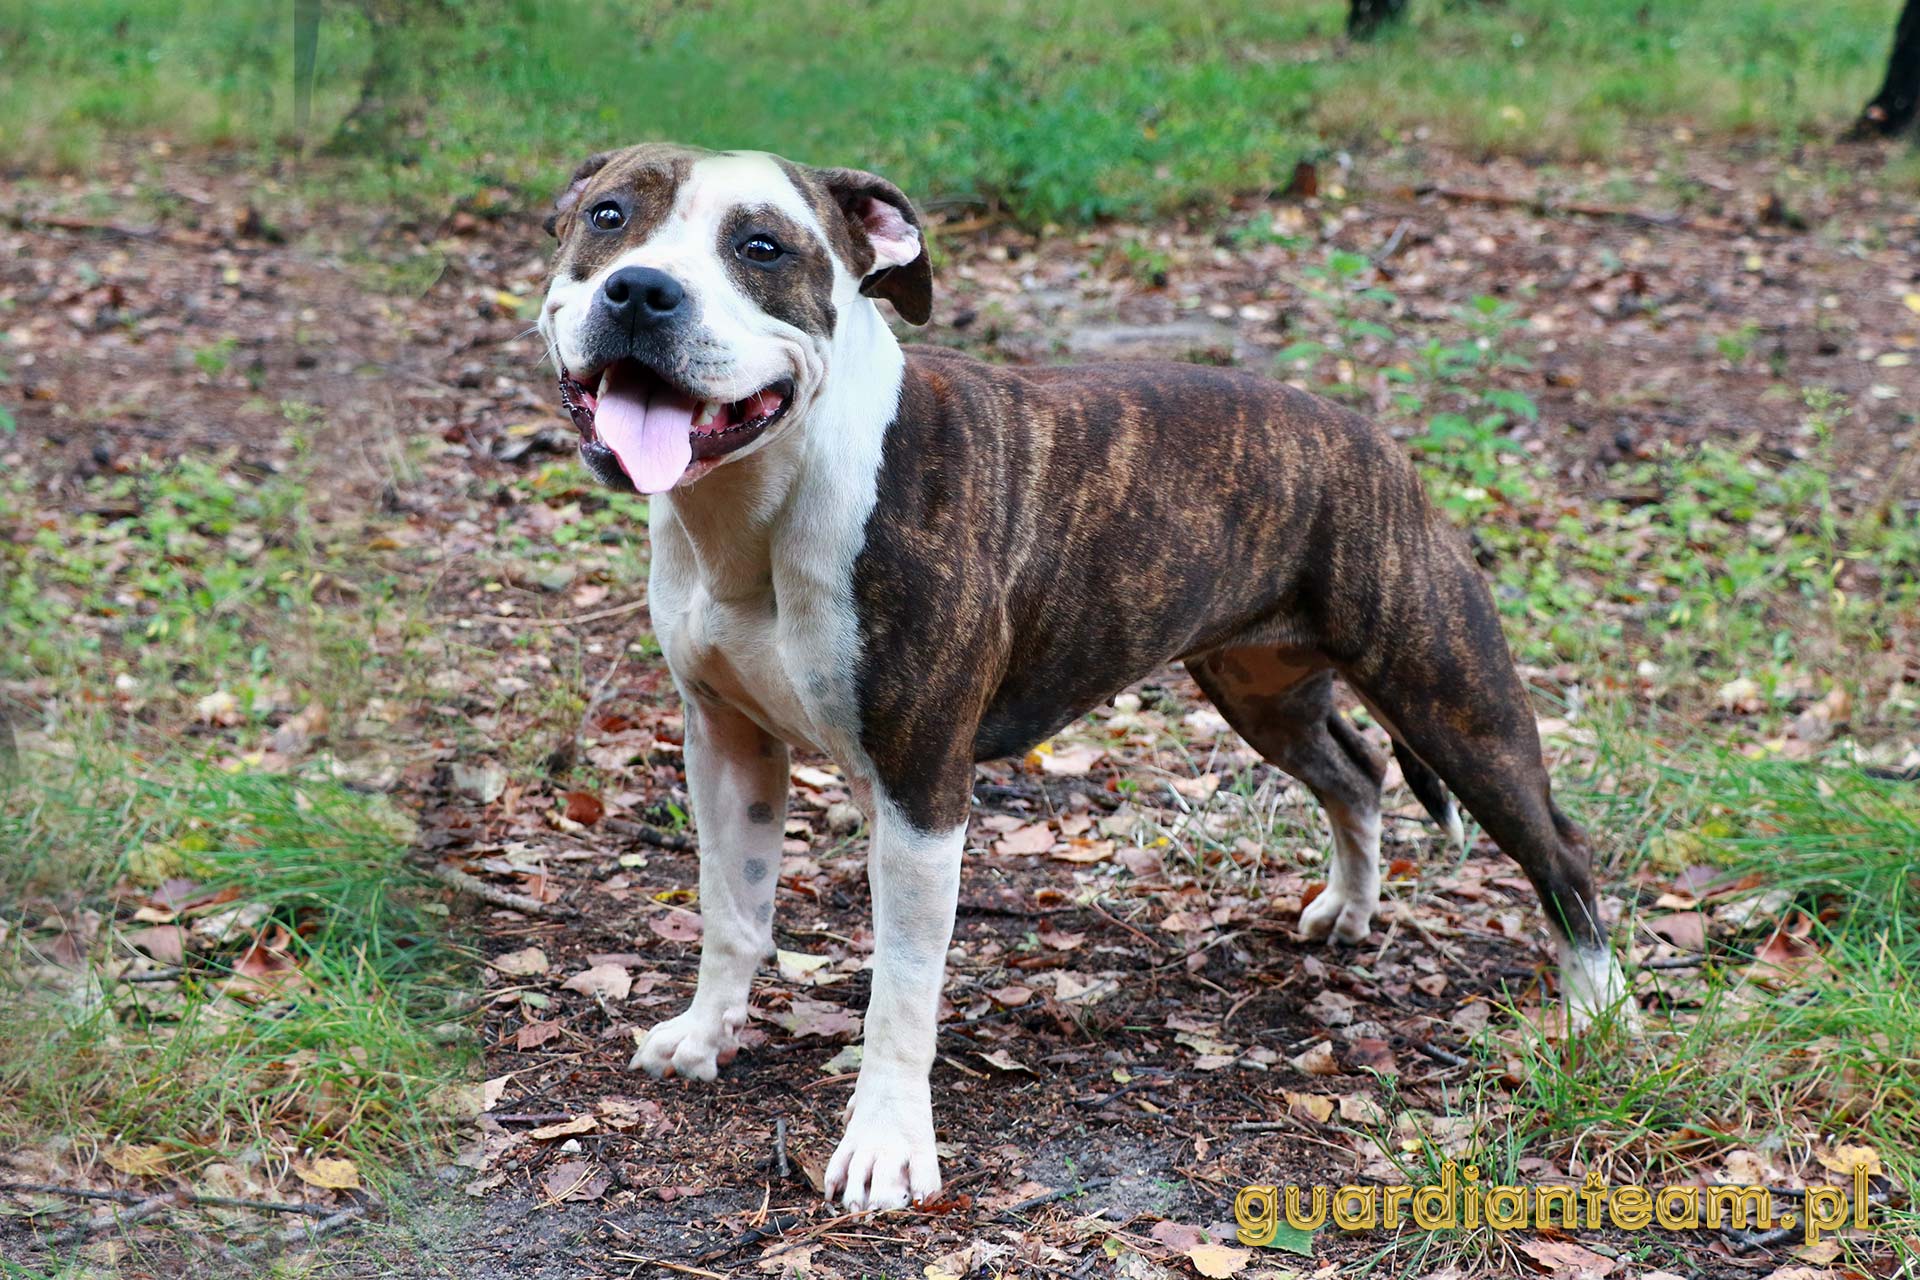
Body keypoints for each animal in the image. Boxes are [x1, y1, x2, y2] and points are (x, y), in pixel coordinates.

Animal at [536, 143, 1630, 1213]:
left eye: (760, 245)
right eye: (607, 216)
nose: (642, 291)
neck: (764, 498)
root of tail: (1368, 435)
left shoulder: (921, 788)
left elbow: (900, 988)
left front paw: (886, 1146)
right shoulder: (725, 737)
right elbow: (733, 910)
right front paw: (704, 1034)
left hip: (1452, 696)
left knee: (1560, 847)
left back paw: (1598, 1011)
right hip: (1260, 688)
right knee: (1355, 772)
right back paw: (1352, 908)